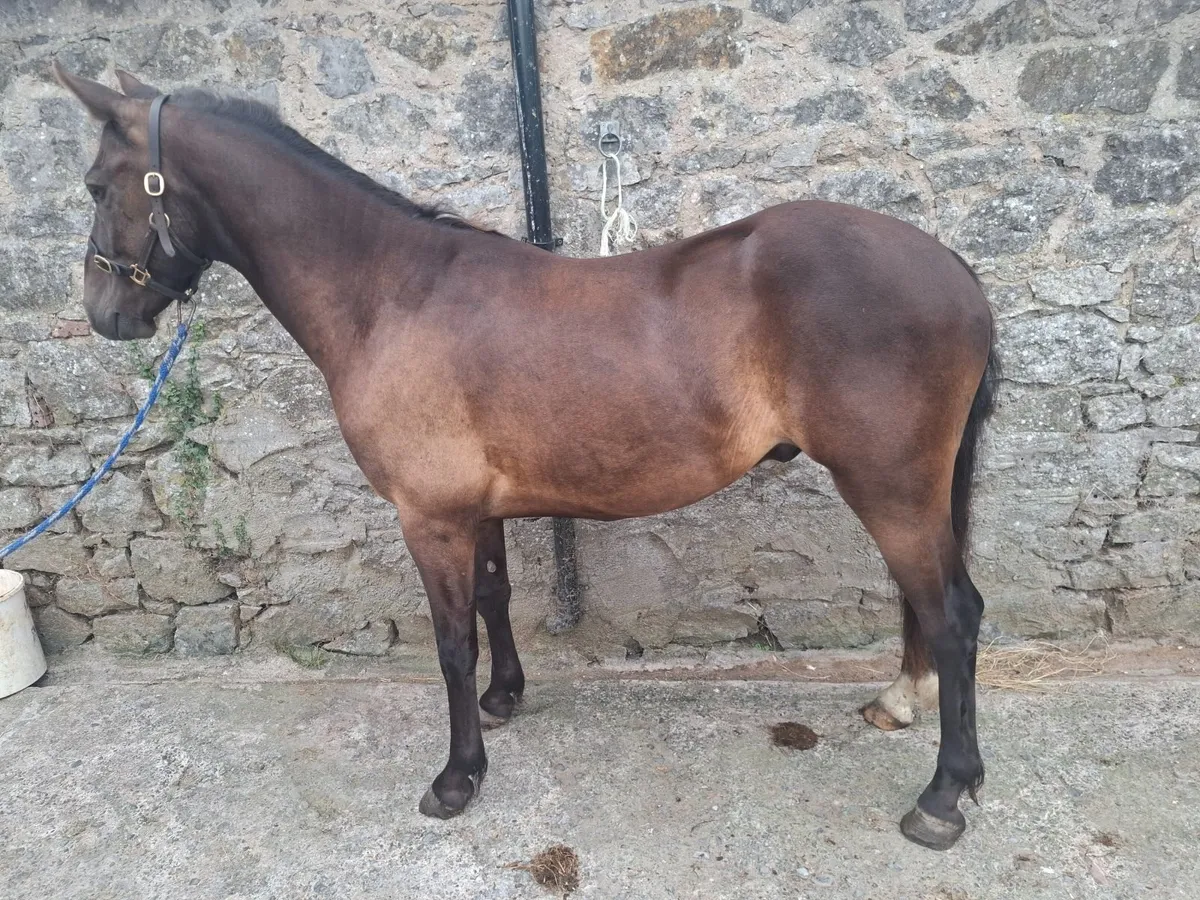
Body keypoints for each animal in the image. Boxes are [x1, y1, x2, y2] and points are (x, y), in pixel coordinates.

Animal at [54, 63, 998, 851]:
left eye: (99, 186)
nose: (103, 313)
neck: (390, 293)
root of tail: (951, 264)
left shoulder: (429, 517)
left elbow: (450, 643)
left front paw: (456, 778)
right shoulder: (476, 510)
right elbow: (495, 600)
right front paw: (504, 700)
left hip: (890, 486)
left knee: (953, 613)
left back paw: (943, 797)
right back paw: (903, 705)